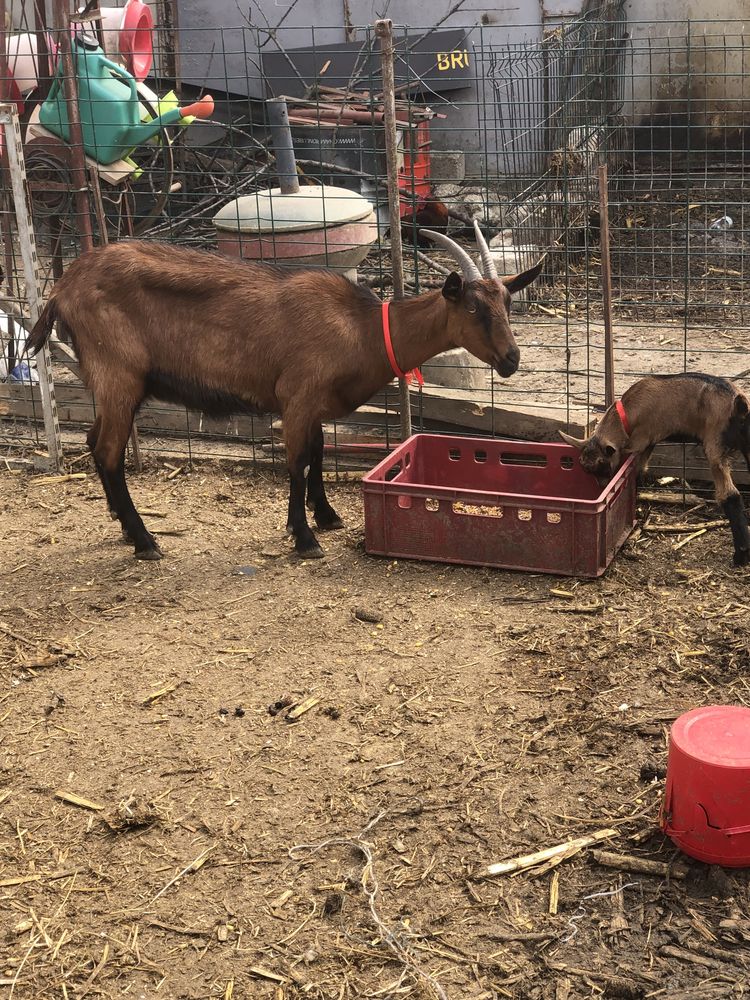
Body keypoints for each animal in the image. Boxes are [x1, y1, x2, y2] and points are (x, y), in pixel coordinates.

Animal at [29, 222, 544, 560]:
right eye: (474, 308)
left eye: (508, 302)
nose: (512, 360)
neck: (362, 328)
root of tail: (61, 289)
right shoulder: (297, 396)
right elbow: (297, 462)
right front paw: (305, 538)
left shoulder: (313, 405)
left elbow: (318, 452)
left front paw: (327, 515)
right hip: (120, 375)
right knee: (108, 450)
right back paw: (145, 541)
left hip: (109, 382)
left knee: (95, 443)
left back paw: (122, 526)